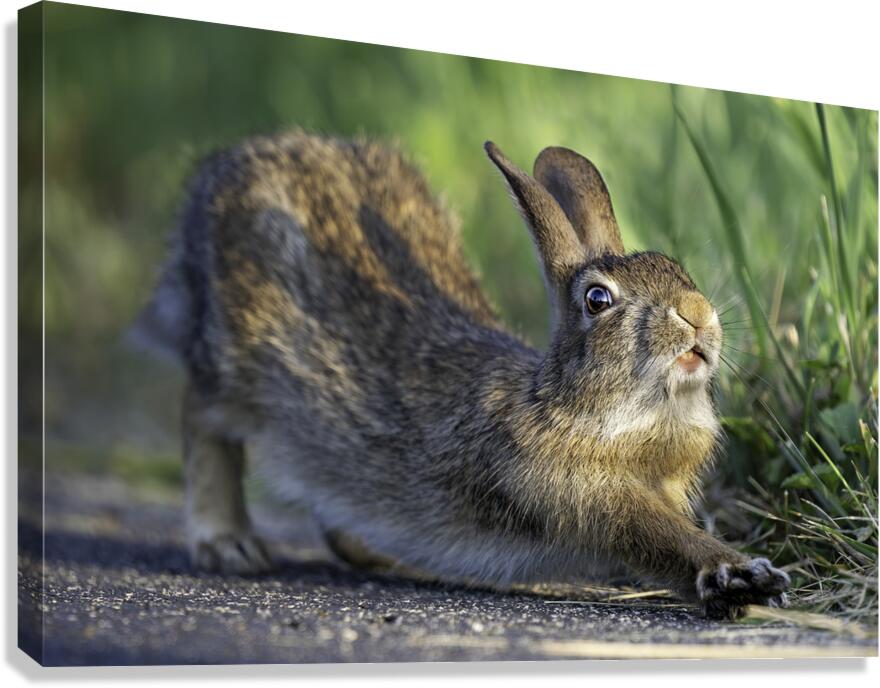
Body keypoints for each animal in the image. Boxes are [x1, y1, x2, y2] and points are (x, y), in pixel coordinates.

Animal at [135, 131, 789, 620]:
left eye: (677, 269)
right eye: (598, 299)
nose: (698, 315)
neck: (585, 408)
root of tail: (225, 171)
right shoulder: (578, 492)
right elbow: (660, 538)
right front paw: (739, 574)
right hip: (236, 363)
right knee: (200, 414)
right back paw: (227, 543)